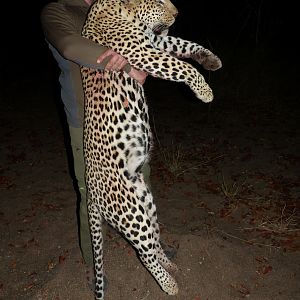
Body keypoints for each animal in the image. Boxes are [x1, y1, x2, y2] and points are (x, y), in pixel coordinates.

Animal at [81, 0, 221, 298]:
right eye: (157, 2)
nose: (177, 13)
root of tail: (92, 192)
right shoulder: (142, 51)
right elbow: (180, 65)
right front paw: (205, 91)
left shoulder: (153, 41)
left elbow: (182, 44)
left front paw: (211, 59)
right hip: (130, 213)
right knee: (143, 252)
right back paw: (169, 285)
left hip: (145, 201)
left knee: (153, 241)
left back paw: (169, 264)